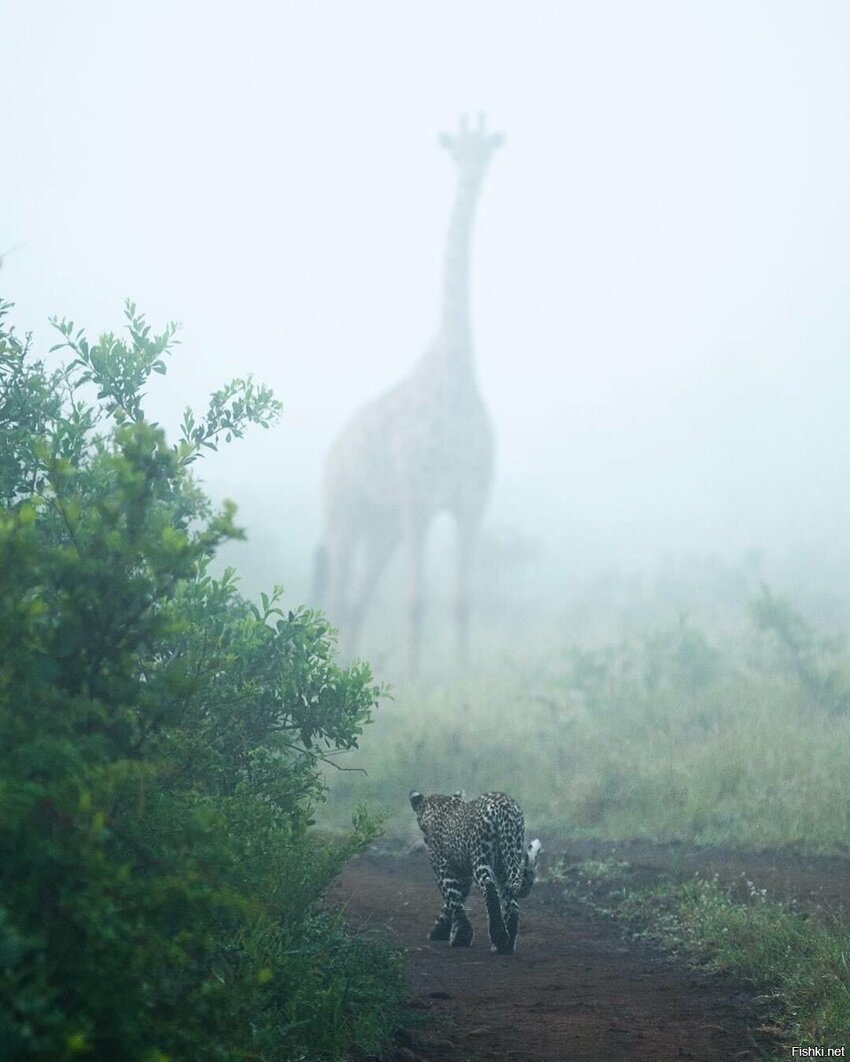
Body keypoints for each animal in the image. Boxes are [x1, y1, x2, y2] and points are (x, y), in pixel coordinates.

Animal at [316, 116, 505, 671]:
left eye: (488, 151)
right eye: (457, 151)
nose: (473, 175)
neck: (457, 374)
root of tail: (331, 454)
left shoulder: (470, 501)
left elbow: (463, 601)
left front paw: (460, 677)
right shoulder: (417, 498)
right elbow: (416, 598)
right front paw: (418, 679)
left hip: (383, 527)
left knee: (356, 599)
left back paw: (349, 666)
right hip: (344, 513)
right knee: (336, 596)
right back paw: (332, 669)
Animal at [408, 790, 541, 955]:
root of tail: (506, 808)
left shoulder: (443, 869)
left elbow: (453, 899)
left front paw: (460, 936)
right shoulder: (463, 876)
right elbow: (453, 902)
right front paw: (443, 930)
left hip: (481, 858)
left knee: (489, 888)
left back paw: (499, 937)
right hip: (508, 861)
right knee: (512, 902)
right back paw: (506, 945)